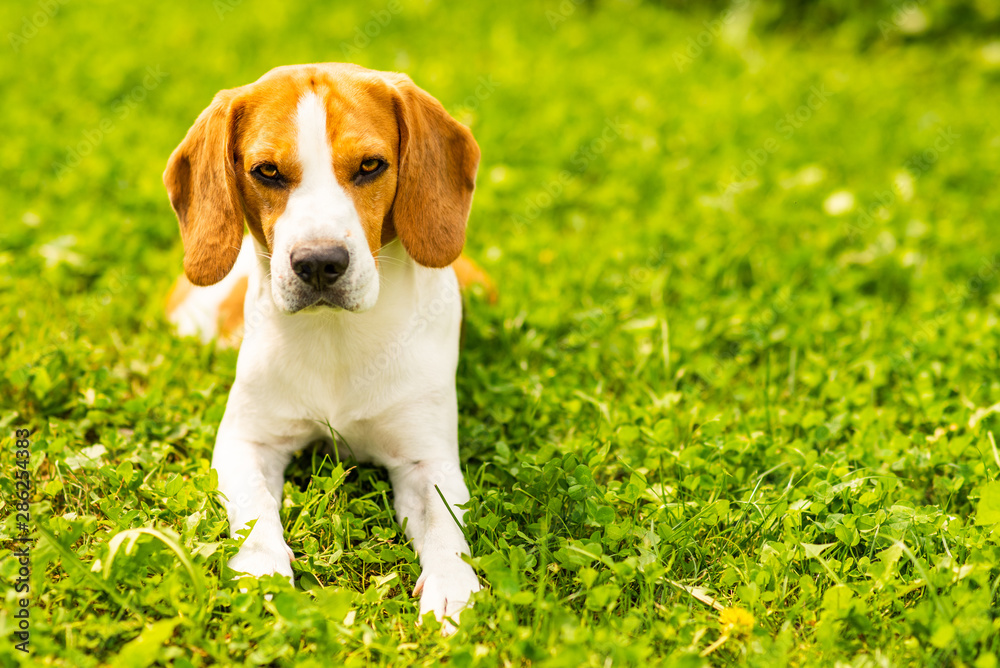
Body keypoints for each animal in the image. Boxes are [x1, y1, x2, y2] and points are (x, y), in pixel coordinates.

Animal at [164, 64, 488, 632]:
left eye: (370, 165)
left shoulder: (428, 460)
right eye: (267, 171)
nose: (318, 263)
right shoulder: (244, 443)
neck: (336, 337)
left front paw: (452, 586)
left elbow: (446, 526)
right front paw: (263, 573)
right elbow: (254, 514)